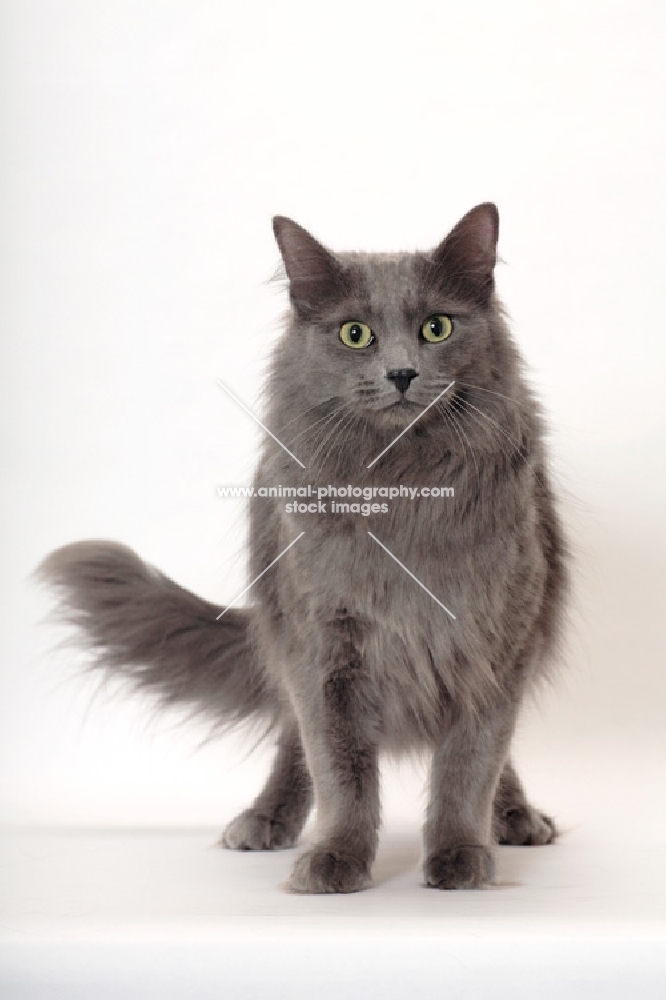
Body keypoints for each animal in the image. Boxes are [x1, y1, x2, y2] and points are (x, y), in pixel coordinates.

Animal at [37, 203, 564, 892]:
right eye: (355, 335)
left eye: (437, 327)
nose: (402, 373)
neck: (401, 488)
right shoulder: (325, 646)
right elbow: (341, 769)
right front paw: (337, 858)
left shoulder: (496, 643)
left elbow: (468, 764)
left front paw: (458, 856)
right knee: (293, 742)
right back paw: (265, 819)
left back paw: (516, 818)